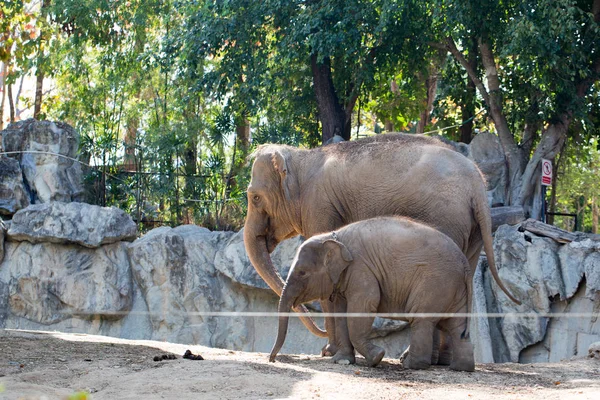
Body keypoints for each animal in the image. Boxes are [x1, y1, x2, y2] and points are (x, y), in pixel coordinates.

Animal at [270, 216, 474, 372]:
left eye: (302, 272)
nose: (272, 359)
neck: (334, 237)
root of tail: (465, 263)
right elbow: (341, 312)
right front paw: (342, 361)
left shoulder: (360, 268)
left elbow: (363, 306)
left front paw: (377, 357)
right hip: (453, 288)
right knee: (456, 326)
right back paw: (461, 368)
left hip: (435, 282)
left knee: (422, 319)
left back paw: (410, 365)